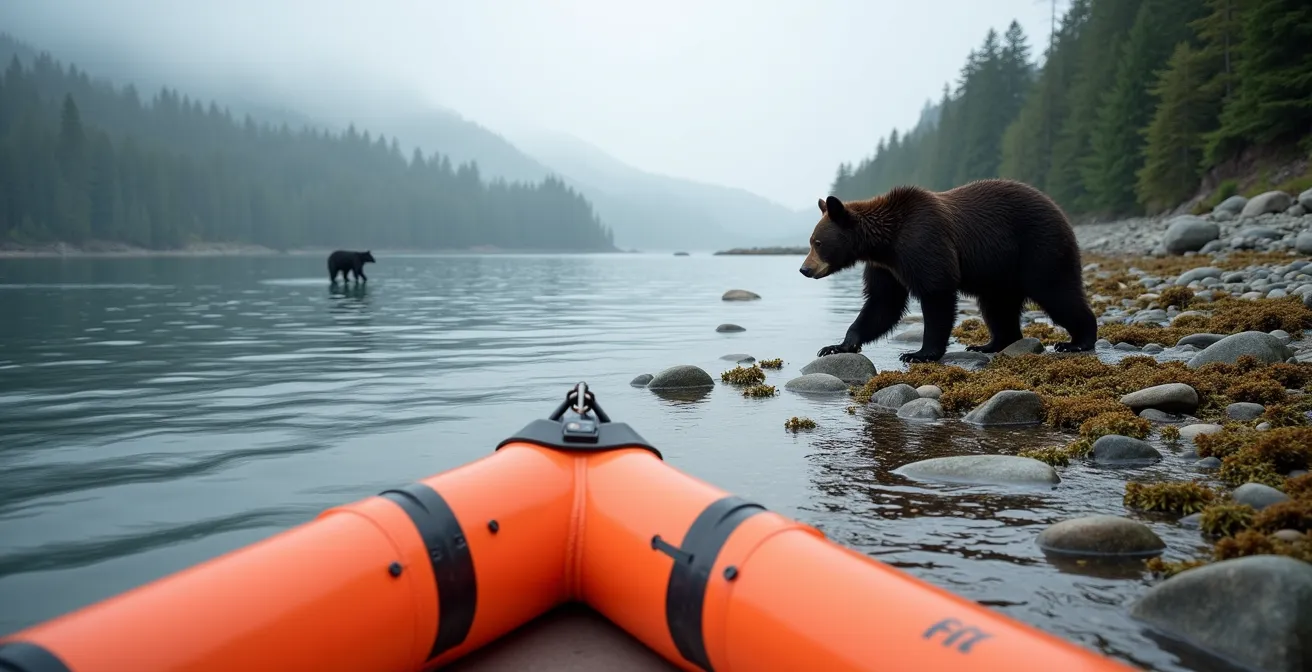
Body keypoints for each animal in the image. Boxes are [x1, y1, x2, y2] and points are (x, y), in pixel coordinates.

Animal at [799, 178, 1098, 363]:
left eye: (817, 242)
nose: (804, 268)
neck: (885, 243)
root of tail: (1058, 209)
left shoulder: (924, 241)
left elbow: (936, 293)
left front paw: (919, 353)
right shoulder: (886, 267)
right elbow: (882, 304)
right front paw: (837, 345)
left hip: (1039, 248)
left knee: (1056, 291)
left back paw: (1077, 340)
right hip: (1000, 273)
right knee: (997, 307)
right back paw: (989, 344)